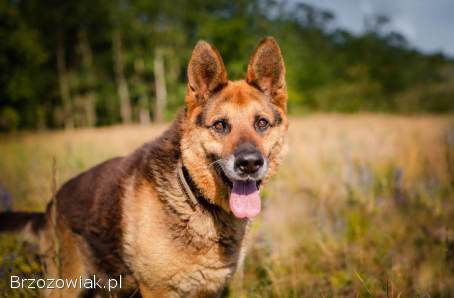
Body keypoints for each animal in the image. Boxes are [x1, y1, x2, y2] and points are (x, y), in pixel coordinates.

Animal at [0, 37, 288, 298]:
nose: (249, 163)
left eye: (261, 123)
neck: (193, 195)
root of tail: (51, 205)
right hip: (67, 286)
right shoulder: (157, 290)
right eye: (220, 125)